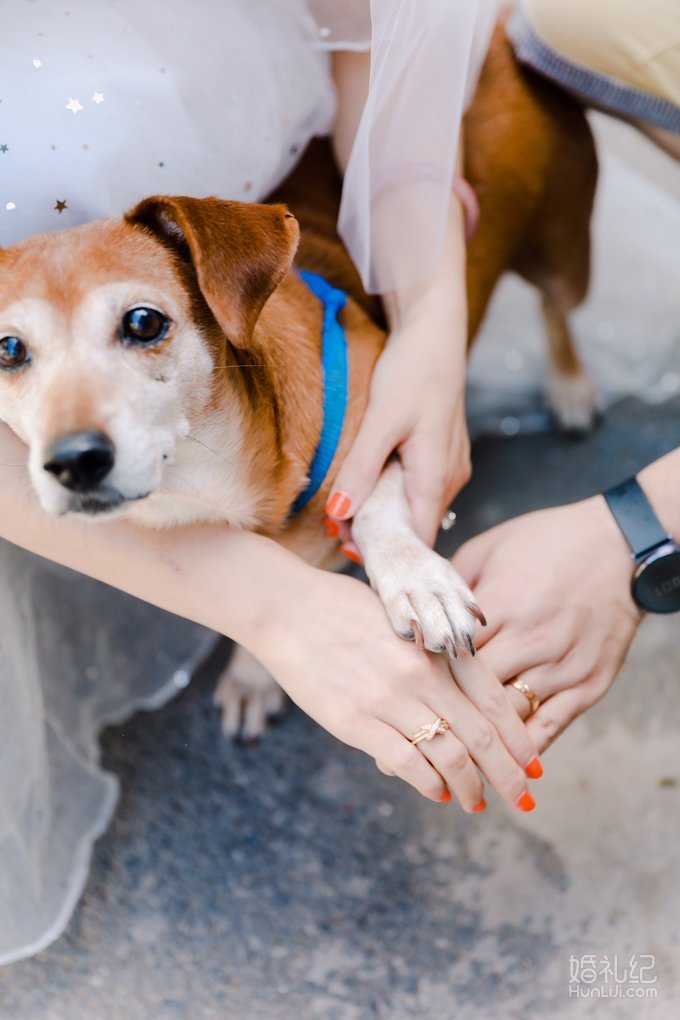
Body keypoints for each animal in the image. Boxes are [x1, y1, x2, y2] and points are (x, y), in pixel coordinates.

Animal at [0, 27, 595, 738]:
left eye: (144, 321)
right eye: (8, 349)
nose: (72, 461)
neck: (211, 479)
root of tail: (498, 38)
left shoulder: (380, 408)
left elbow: (379, 497)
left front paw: (417, 578)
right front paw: (254, 675)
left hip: (563, 250)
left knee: (558, 310)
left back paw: (570, 385)